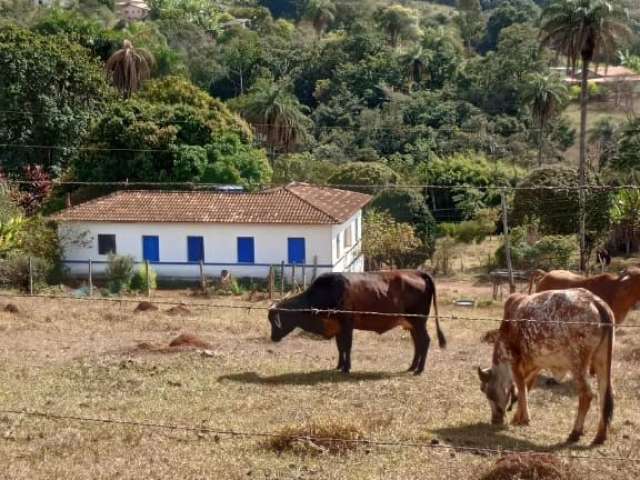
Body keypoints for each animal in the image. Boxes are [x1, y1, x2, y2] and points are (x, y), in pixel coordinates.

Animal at [268, 270, 444, 376]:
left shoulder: (347, 324)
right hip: (412, 324)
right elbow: (340, 347)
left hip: (419, 322)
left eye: (275, 320)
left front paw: (347, 368)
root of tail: (418, 272)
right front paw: (339, 366)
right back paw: (412, 367)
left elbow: (347, 346)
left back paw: (419, 369)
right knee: (418, 343)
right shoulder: (338, 327)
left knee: (424, 341)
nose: (273, 338)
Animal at [478, 286, 616, 444]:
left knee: (587, 395)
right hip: (602, 359)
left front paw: (524, 419)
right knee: (605, 395)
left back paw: (575, 433)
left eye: (486, 391)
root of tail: (596, 301)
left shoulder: (515, 360)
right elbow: (525, 388)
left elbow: (521, 387)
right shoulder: (535, 364)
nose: (494, 420)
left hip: (578, 363)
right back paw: (600, 436)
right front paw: (517, 418)